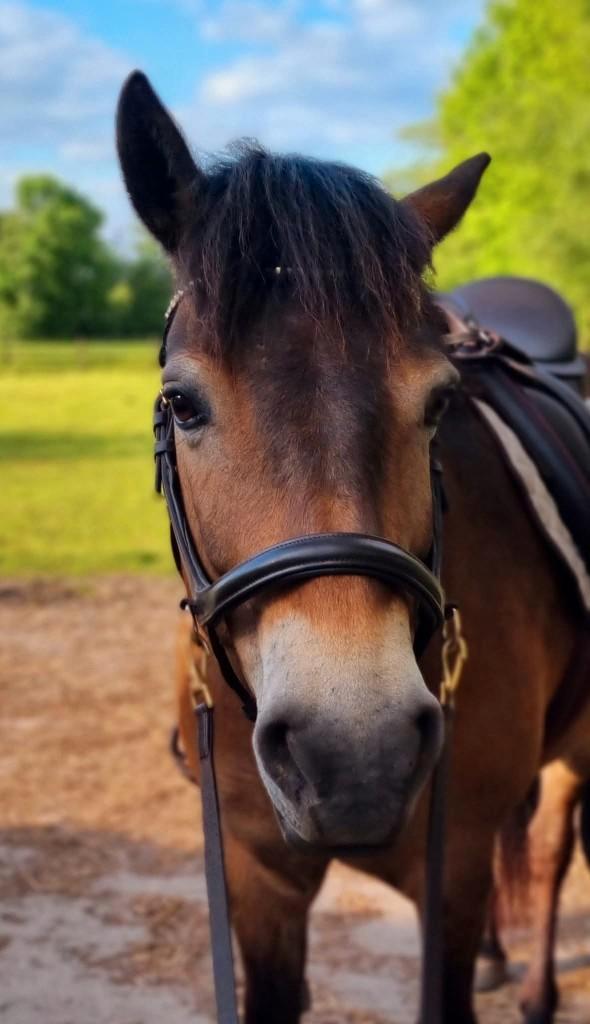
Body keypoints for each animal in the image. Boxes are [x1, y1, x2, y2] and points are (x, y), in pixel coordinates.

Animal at [116, 71, 590, 1024]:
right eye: (182, 403)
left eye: (439, 402)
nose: (354, 755)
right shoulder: (256, 877)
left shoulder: (450, 873)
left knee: (555, 845)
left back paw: (537, 991)